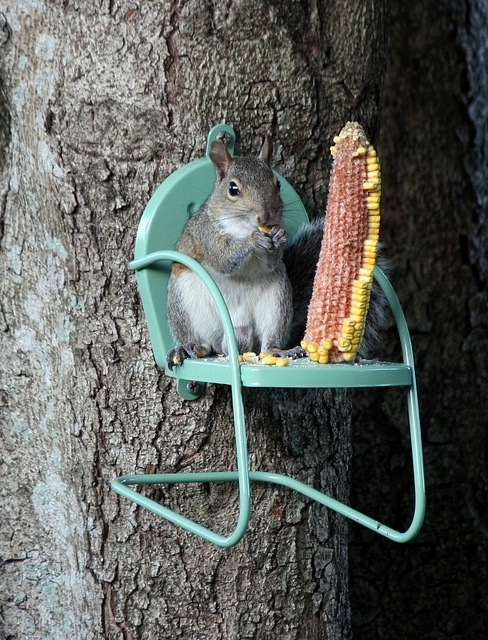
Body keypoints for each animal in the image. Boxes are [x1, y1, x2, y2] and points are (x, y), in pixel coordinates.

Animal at [166, 139, 386, 370]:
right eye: (233, 189)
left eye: (277, 184)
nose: (265, 217)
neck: (241, 227)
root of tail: (239, 334)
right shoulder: (207, 234)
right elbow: (224, 259)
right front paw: (253, 240)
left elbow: (272, 262)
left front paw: (279, 236)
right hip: (185, 299)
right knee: (204, 343)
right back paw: (190, 346)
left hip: (277, 300)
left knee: (268, 340)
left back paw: (278, 350)